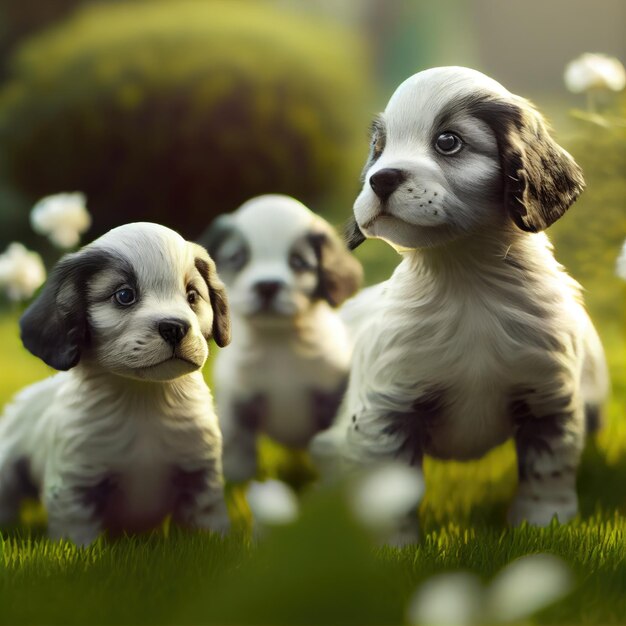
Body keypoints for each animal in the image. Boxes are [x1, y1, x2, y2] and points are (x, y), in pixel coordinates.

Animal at [0, 222, 230, 544]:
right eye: (124, 295)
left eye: (193, 296)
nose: (175, 327)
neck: (144, 401)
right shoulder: (75, 485)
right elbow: (79, 539)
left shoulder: (200, 475)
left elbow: (208, 530)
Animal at [200, 193, 360, 480]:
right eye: (239, 258)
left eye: (297, 261)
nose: (267, 286)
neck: (279, 346)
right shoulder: (238, 406)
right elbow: (238, 462)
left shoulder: (330, 396)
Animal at [310, 66, 608, 540]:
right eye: (378, 148)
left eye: (448, 141)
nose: (380, 179)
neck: (466, 283)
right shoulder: (386, 410)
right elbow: (390, 491)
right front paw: (393, 547)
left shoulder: (549, 399)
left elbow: (548, 473)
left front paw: (543, 526)